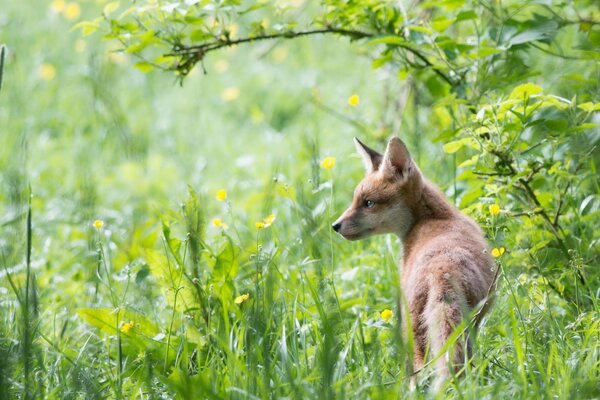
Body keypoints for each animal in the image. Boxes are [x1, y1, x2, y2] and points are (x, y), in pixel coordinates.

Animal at [330, 138, 494, 390]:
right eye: (355, 200)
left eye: (368, 203)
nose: (335, 225)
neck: (437, 218)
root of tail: (442, 270)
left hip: (413, 330)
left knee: (419, 374)